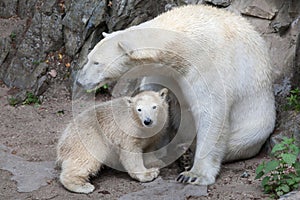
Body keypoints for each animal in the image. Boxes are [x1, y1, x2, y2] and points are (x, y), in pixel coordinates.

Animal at [75, 5, 276, 186]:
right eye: (89, 58)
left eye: (96, 62)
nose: (79, 80)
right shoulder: (164, 70)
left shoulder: (208, 65)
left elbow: (211, 113)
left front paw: (194, 175)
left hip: (256, 124)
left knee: (239, 140)